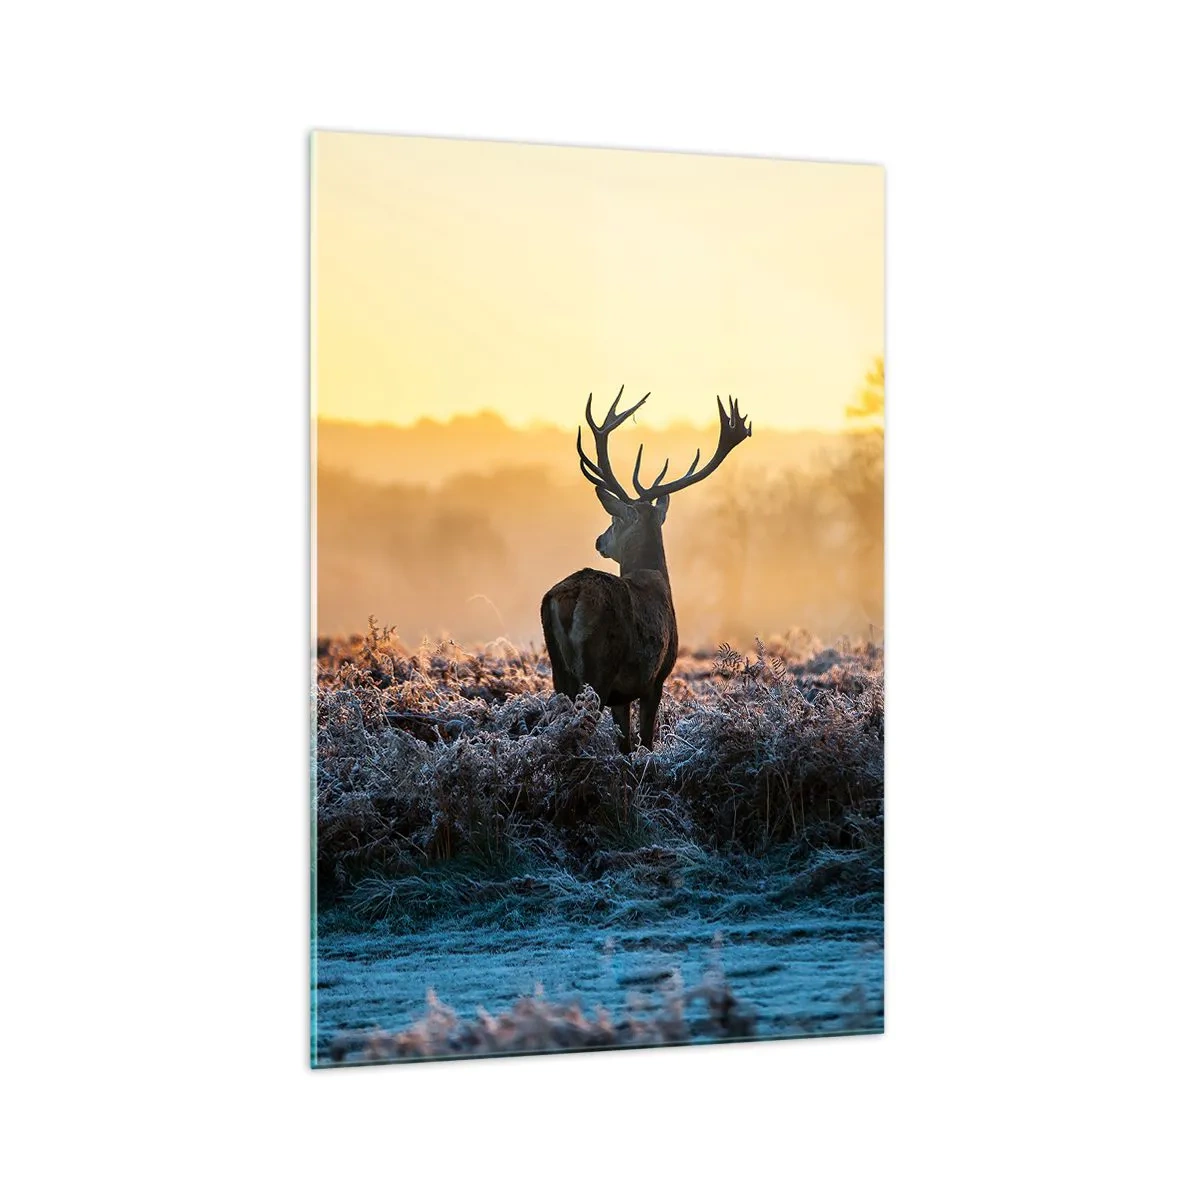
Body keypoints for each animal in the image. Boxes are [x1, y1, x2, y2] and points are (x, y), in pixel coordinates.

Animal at [540, 387, 752, 752]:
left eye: (613, 521)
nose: (599, 540)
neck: (656, 578)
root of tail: (571, 596)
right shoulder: (655, 678)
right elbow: (646, 741)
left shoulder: (623, 694)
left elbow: (626, 743)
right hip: (599, 665)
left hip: (560, 670)